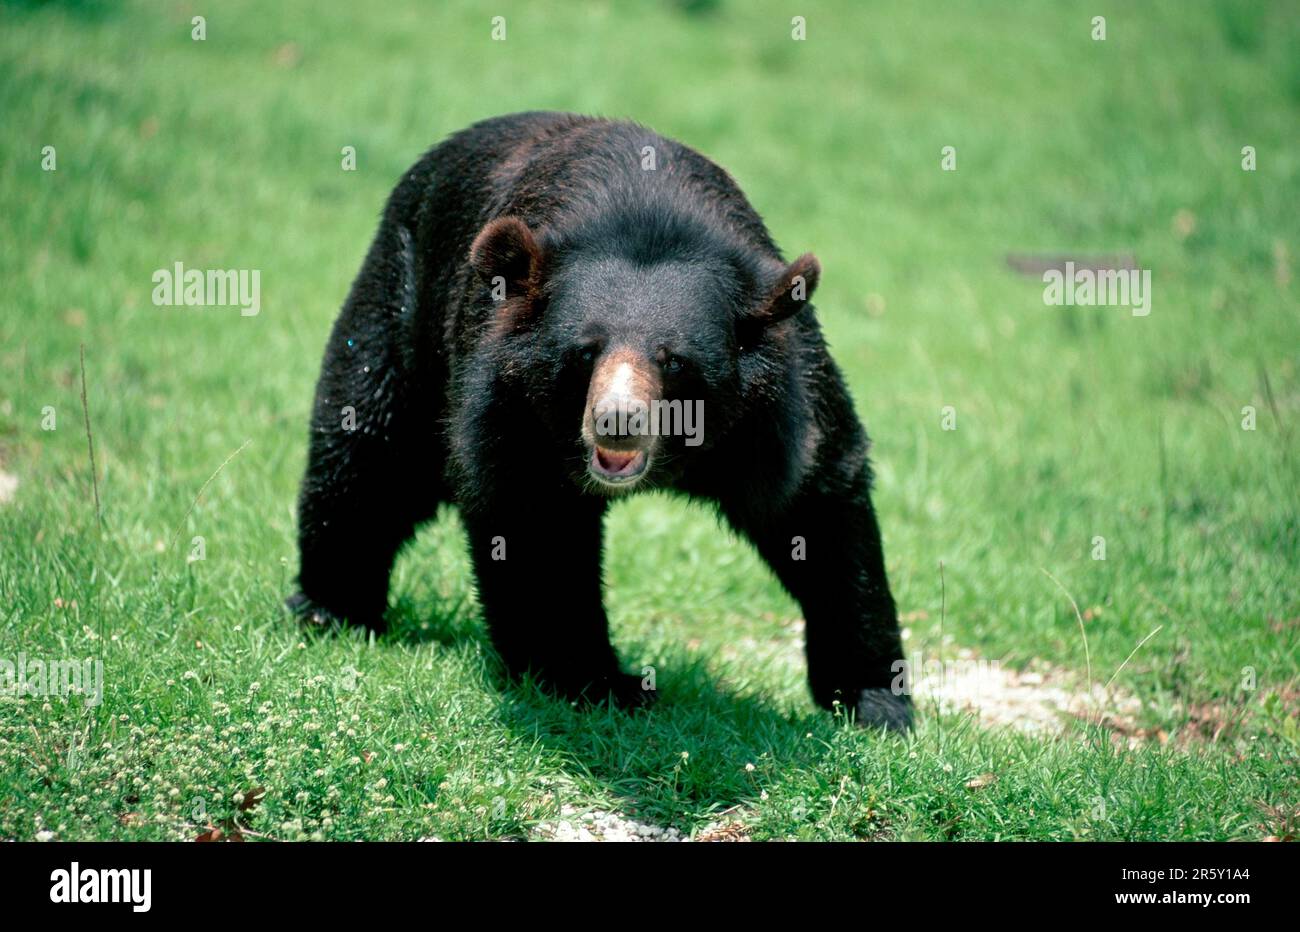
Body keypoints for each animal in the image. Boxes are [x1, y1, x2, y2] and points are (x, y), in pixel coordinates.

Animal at [287, 111, 912, 731]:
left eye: (673, 359)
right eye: (586, 352)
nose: (617, 421)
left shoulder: (781, 404)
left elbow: (819, 505)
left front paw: (876, 701)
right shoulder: (507, 405)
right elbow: (537, 528)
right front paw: (598, 684)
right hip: (400, 307)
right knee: (367, 447)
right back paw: (331, 610)